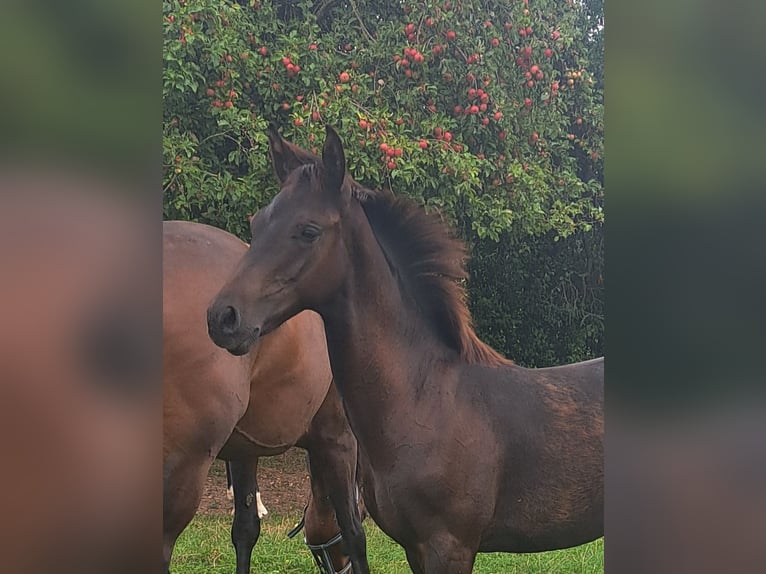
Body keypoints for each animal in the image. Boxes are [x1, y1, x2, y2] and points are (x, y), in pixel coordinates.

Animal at [207, 126, 604, 573]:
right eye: (257, 223)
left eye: (309, 230)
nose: (223, 317)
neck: (426, 398)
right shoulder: (416, 548)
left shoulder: (449, 546)